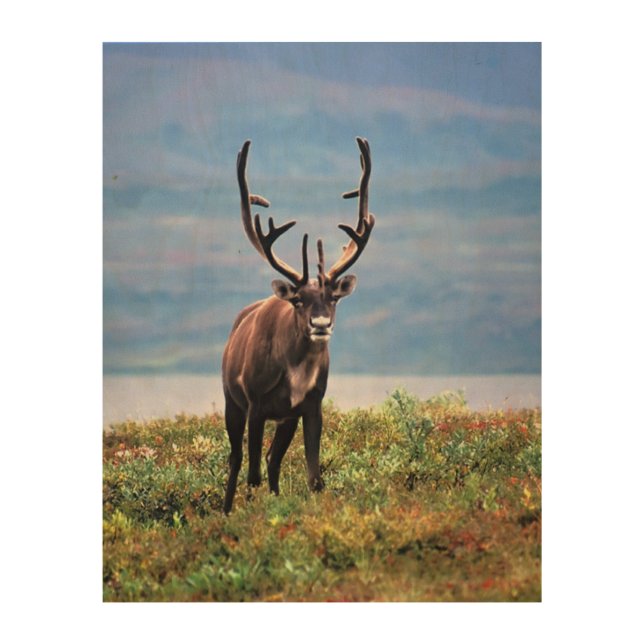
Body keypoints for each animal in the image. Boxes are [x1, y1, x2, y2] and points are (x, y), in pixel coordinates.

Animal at [220, 137, 375, 514]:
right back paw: (226, 510)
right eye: (299, 300)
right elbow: (252, 475)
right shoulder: (256, 404)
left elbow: (314, 477)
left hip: (285, 419)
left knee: (273, 461)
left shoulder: (310, 405)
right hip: (232, 402)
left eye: (333, 298)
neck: (295, 370)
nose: (320, 323)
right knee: (236, 462)